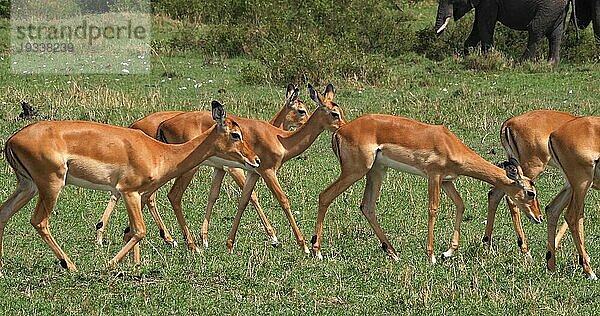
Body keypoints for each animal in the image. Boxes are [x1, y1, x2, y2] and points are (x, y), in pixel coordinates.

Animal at [436, 0, 568, 63]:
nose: (437, 35)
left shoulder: (489, 2)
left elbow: (484, 26)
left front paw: (488, 57)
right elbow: (477, 27)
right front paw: (468, 56)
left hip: (548, 7)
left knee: (535, 29)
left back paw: (521, 63)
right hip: (555, 9)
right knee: (556, 34)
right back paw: (551, 65)